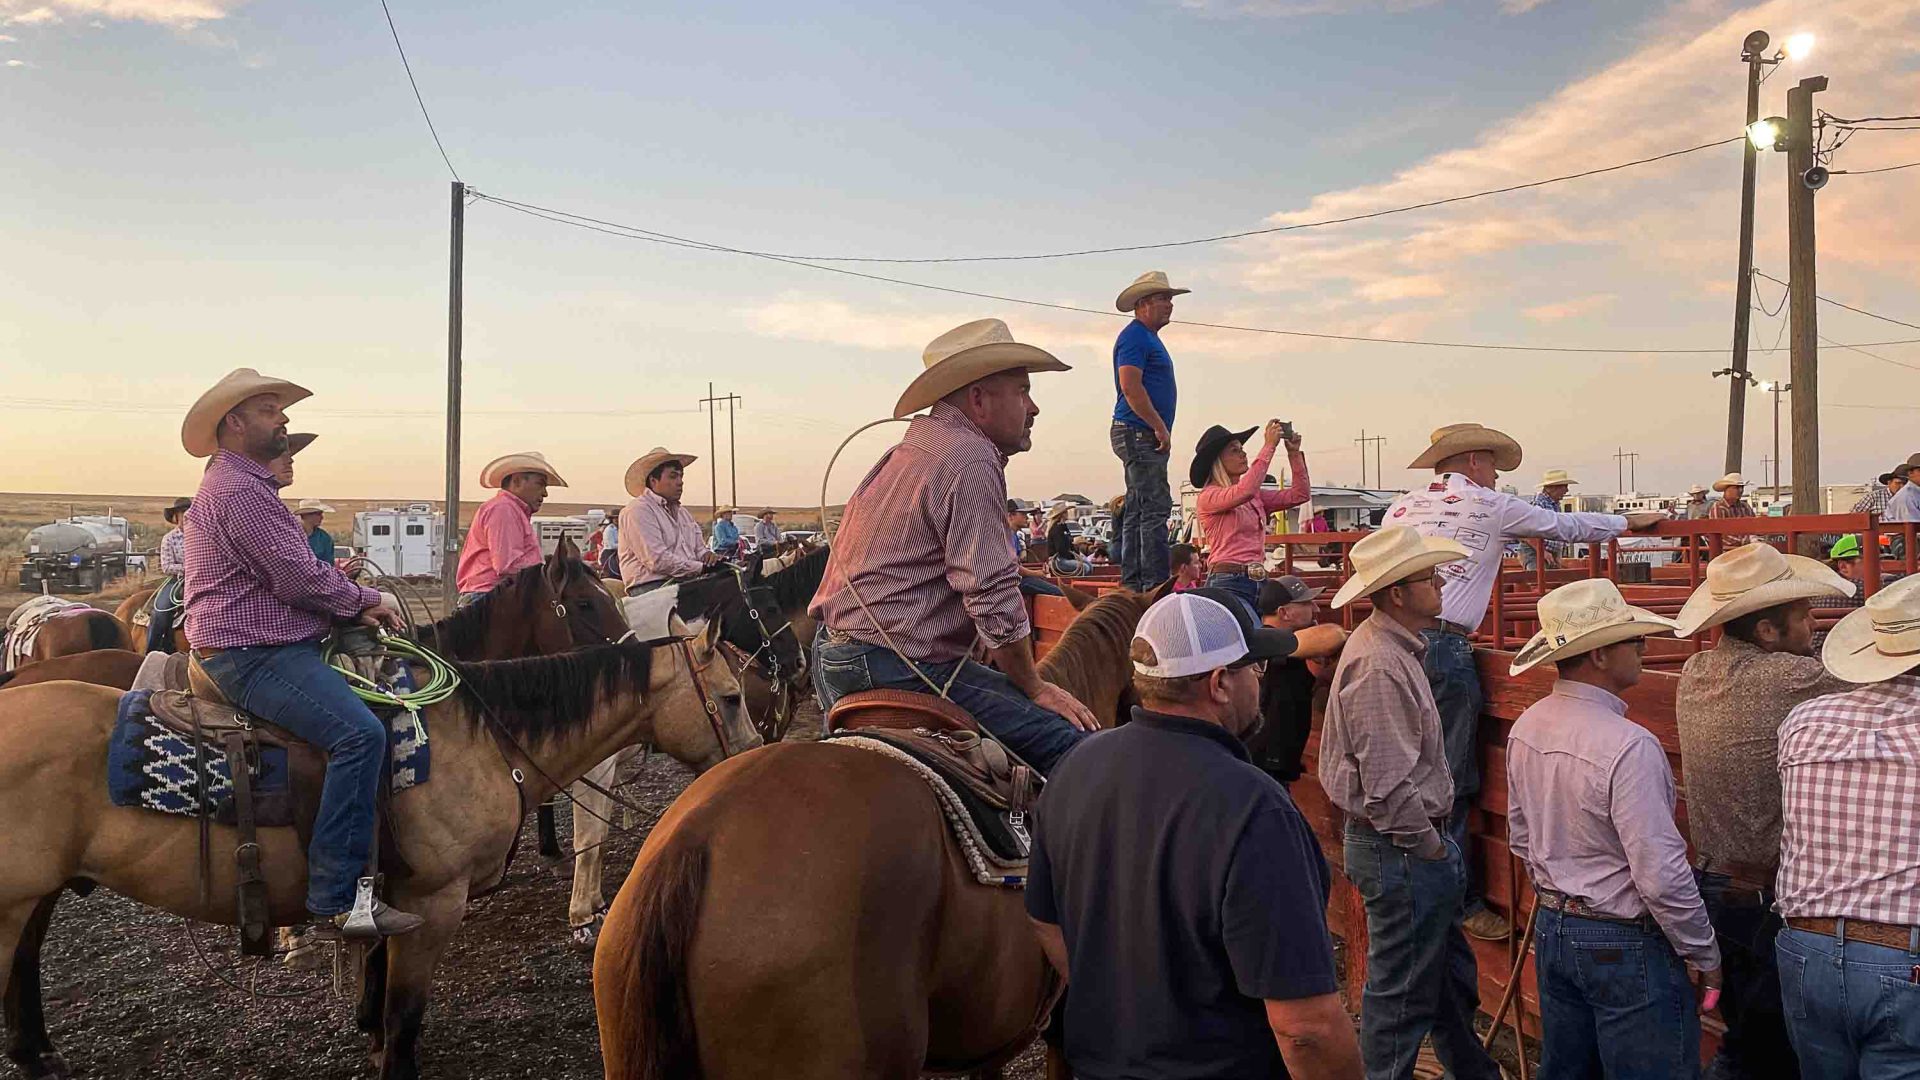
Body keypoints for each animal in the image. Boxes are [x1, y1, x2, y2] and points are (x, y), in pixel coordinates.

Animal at [0, 622, 764, 1076]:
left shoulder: (392, 893)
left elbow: (374, 972)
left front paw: (363, 1026)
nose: (753, 762)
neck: (480, 741)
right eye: (729, 696)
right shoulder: (434, 902)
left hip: (37, 894)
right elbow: (405, 1017)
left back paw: (37, 1053)